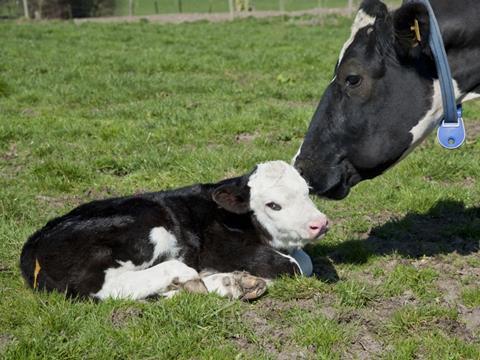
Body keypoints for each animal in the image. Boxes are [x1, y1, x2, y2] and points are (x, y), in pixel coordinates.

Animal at [19, 161, 326, 300]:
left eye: (307, 191)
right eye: (273, 205)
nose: (320, 223)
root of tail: (33, 245)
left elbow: (305, 260)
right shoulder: (228, 250)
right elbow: (295, 266)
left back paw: (231, 284)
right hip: (150, 228)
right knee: (102, 286)